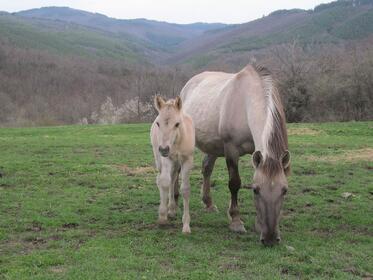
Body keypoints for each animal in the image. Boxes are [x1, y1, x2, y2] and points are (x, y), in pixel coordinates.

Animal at [150, 96, 195, 234]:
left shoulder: (187, 160)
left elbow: (185, 189)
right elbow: (164, 182)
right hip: (160, 158)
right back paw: (168, 210)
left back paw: (172, 209)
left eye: (177, 124)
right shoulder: (166, 158)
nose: (164, 149)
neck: (177, 141)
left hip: (176, 163)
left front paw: (186, 225)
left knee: (173, 177)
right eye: (158, 123)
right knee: (161, 179)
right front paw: (162, 217)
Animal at [180, 63, 290, 245]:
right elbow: (234, 183)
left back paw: (209, 203)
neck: (246, 102)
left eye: (284, 190)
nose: (270, 239)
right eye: (256, 190)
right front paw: (236, 221)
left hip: (214, 146)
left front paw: (259, 224)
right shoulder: (231, 149)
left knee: (206, 168)